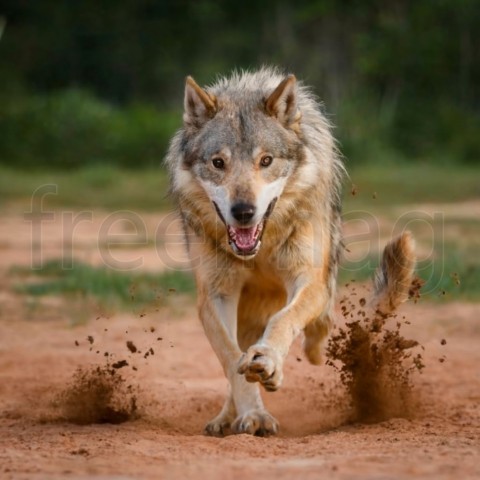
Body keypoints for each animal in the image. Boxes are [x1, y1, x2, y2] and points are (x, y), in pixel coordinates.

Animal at [164, 65, 412, 436]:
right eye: (218, 163)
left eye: (266, 160)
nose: (243, 211)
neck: (259, 250)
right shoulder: (215, 296)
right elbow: (231, 359)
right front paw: (254, 415)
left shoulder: (307, 281)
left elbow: (284, 321)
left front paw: (268, 361)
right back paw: (226, 418)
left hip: (322, 287)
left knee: (317, 328)